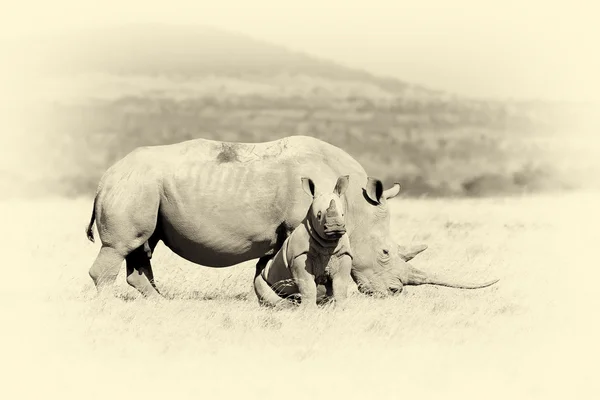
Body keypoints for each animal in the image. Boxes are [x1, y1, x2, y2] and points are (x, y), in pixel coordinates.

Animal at [254, 175, 356, 310]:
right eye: (318, 215)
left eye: (343, 214)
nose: (335, 228)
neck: (328, 243)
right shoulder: (299, 255)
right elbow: (307, 285)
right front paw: (309, 311)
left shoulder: (343, 254)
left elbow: (340, 284)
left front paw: (342, 309)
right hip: (263, 276)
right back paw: (290, 307)